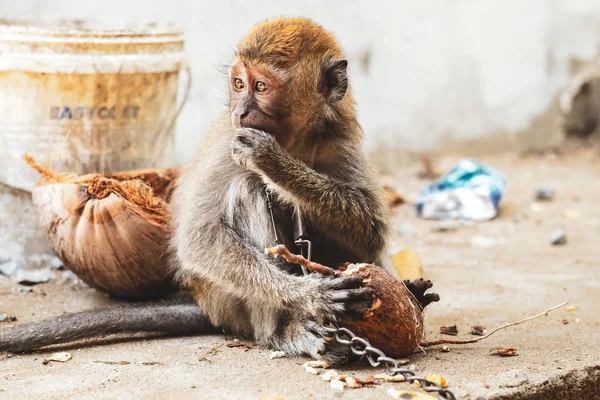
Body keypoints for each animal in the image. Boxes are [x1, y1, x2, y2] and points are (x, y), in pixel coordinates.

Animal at [0, 18, 434, 362]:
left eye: (261, 87)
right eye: (239, 84)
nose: (241, 110)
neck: (294, 140)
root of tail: (206, 304)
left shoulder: (338, 139)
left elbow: (372, 230)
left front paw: (274, 163)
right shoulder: (230, 139)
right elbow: (199, 239)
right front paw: (310, 294)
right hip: (228, 300)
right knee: (247, 189)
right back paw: (285, 330)